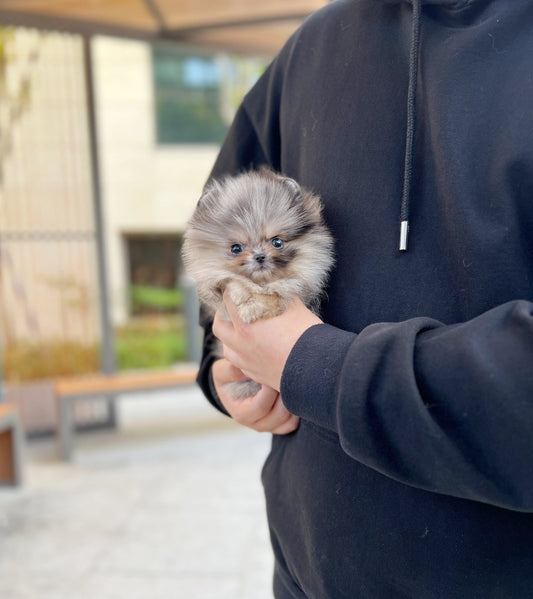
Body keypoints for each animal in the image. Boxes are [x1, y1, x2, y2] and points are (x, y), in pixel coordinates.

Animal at [183, 168, 332, 398]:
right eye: (236, 248)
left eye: (277, 242)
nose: (260, 256)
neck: (261, 281)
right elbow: (233, 281)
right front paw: (242, 293)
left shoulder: (301, 283)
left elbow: (279, 289)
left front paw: (253, 306)